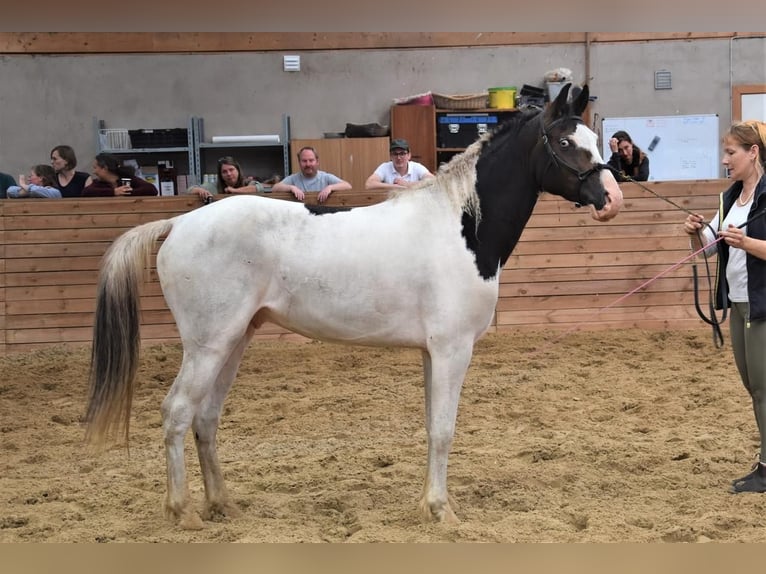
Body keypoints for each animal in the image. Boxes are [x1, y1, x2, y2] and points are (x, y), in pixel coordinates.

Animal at [84, 84, 624, 532]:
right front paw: (442, 511)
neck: (461, 225)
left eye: (593, 141)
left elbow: (431, 427)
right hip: (208, 344)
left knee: (206, 418)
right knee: (177, 412)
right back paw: (183, 512)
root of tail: (178, 224)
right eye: (566, 143)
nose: (611, 198)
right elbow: (445, 430)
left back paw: (222, 505)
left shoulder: (431, 353)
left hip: (234, 340)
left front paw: (427, 504)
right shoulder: (452, 350)